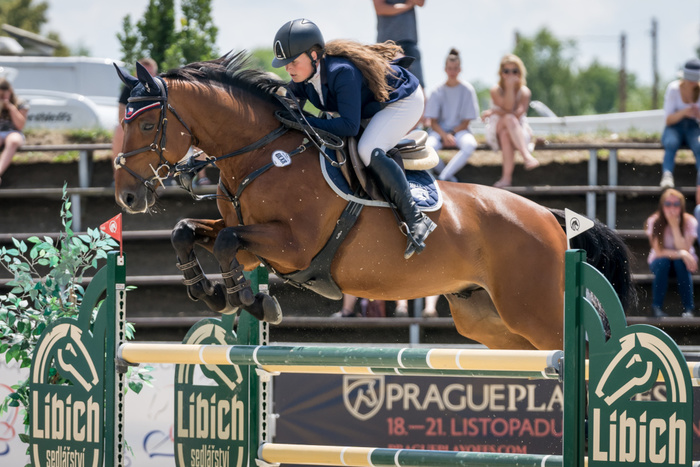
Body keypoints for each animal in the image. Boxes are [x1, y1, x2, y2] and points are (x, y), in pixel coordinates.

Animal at [112, 53, 635, 351]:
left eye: (146, 124)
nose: (127, 196)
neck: (262, 155)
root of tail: (548, 217)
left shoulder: (292, 246)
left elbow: (225, 244)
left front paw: (249, 300)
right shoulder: (252, 244)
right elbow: (189, 233)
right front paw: (212, 291)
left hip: (536, 312)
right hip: (489, 321)